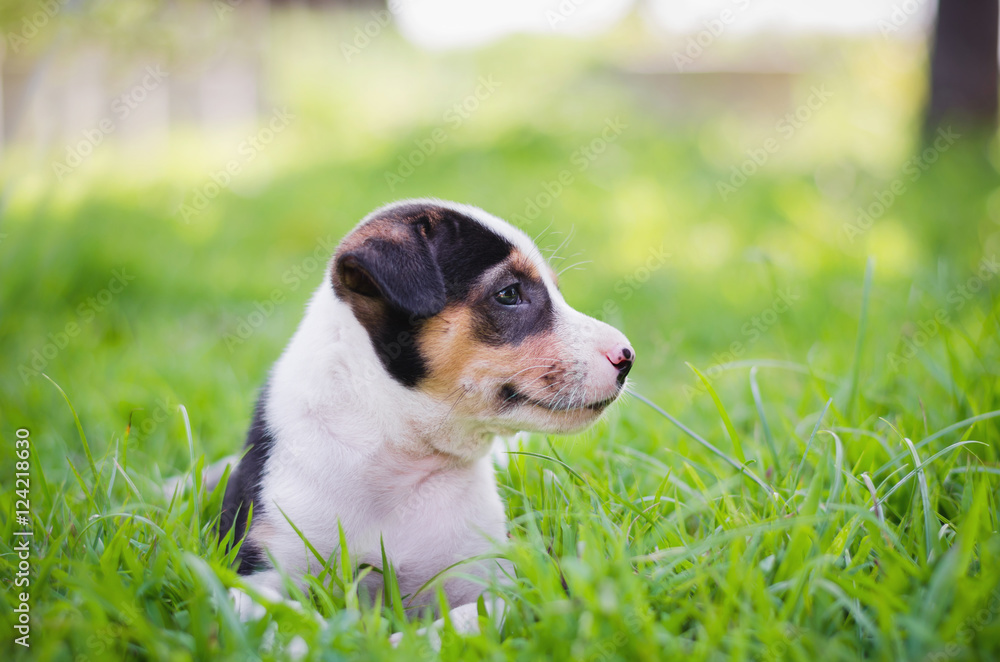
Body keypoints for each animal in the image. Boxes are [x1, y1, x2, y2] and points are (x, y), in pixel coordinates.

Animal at [218, 198, 632, 644]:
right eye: (508, 293)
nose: (627, 356)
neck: (399, 458)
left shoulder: (498, 582)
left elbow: (460, 623)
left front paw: (393, 643)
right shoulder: (259, 572)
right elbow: (282, 622)